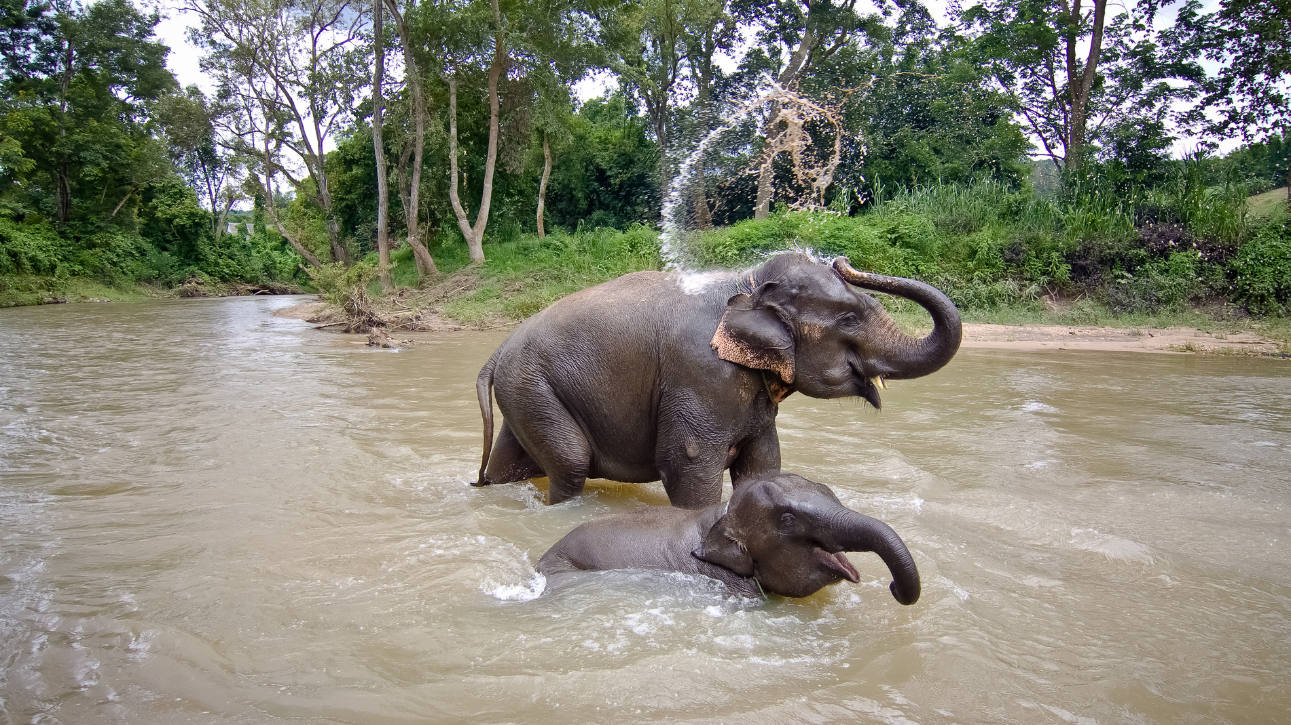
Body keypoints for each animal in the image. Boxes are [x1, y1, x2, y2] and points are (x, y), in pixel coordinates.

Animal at [475, 251, 960, 505]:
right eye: (850, 319)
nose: (842, 260)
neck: (745, 282)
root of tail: (497, 352)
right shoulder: (700, 375)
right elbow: (687, 464)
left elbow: (763, 464)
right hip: (534, 387)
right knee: (571, 462)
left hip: (527, 392)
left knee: (514, 462)